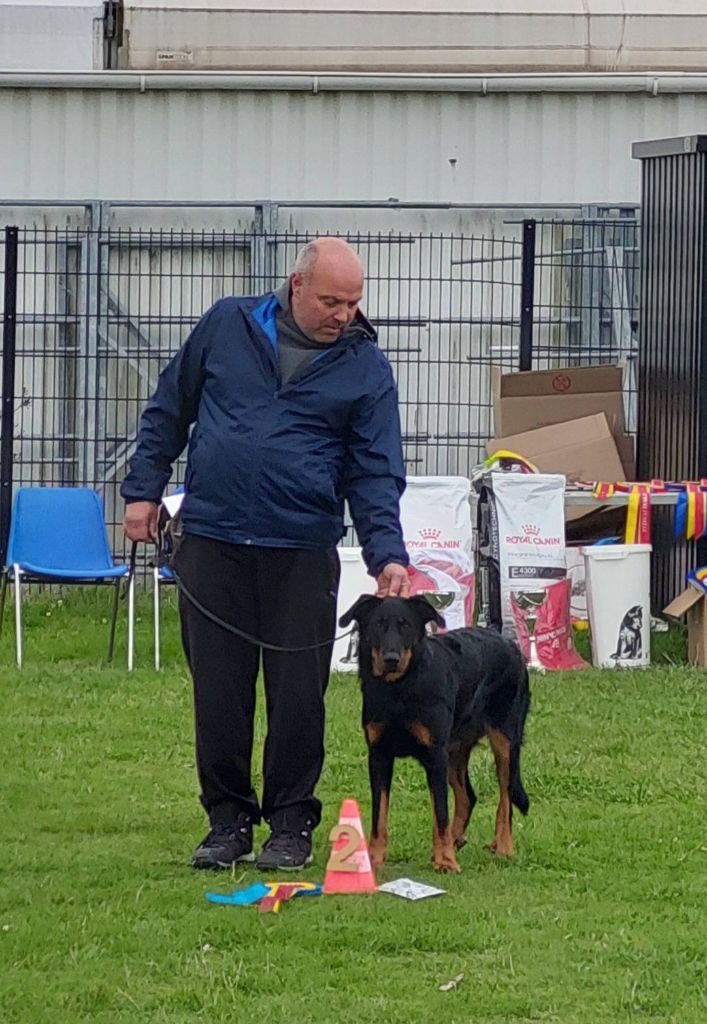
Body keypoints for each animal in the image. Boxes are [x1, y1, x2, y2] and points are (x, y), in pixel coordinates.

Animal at [338, 598, 528, 876]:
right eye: (378, 625)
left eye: (406, 625)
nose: (391, 659)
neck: (399, 690)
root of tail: (504, 638)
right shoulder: (379, 755)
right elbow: (379, 815)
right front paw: (374, 858)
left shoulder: (435, 756)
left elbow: (440, 812)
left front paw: (446, 861)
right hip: (454, 749)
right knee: (468, 797)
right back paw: (457, 838)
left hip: (504, 740)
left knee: (505, 796)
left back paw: (503, 846)